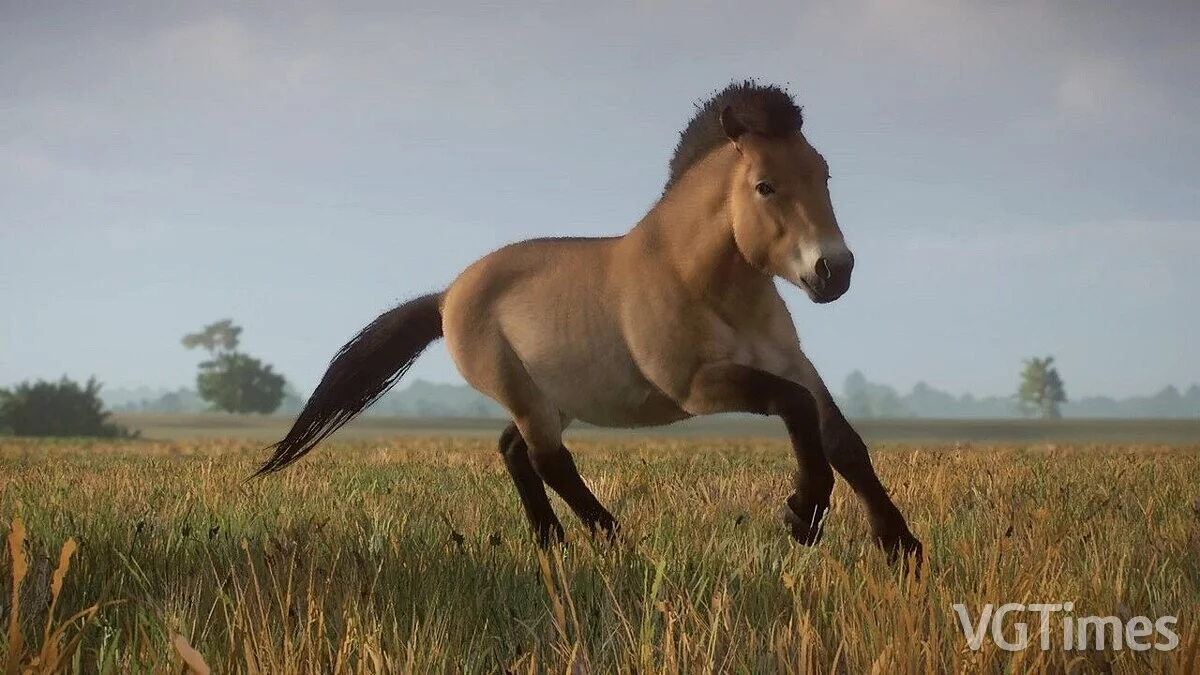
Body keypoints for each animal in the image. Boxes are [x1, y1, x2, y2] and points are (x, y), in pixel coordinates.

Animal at [253, 80, 923, 565]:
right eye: (764, 186)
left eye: (824, 174)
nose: (833, 271)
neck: (703, 281)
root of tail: (446, 297)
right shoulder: (698, 385)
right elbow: (795, 408)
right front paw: (802, 515)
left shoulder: (793, 364)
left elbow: (841, 438)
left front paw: (901, 548)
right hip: (524, 393)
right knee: (547, 458)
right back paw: (613, 538)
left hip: (556, 397)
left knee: (515, 451)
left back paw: (553, 541)